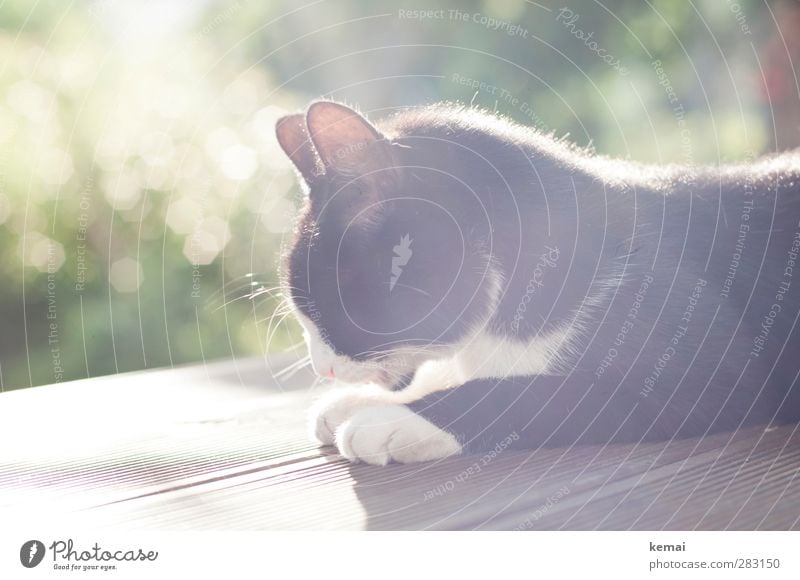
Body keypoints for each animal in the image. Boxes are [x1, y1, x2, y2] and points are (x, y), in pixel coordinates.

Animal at [276, 101, 800, 466]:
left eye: (326, 305)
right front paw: (359, 401)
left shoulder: (709, 371)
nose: (322, 367)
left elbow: (530, 391)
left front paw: (393, 417)